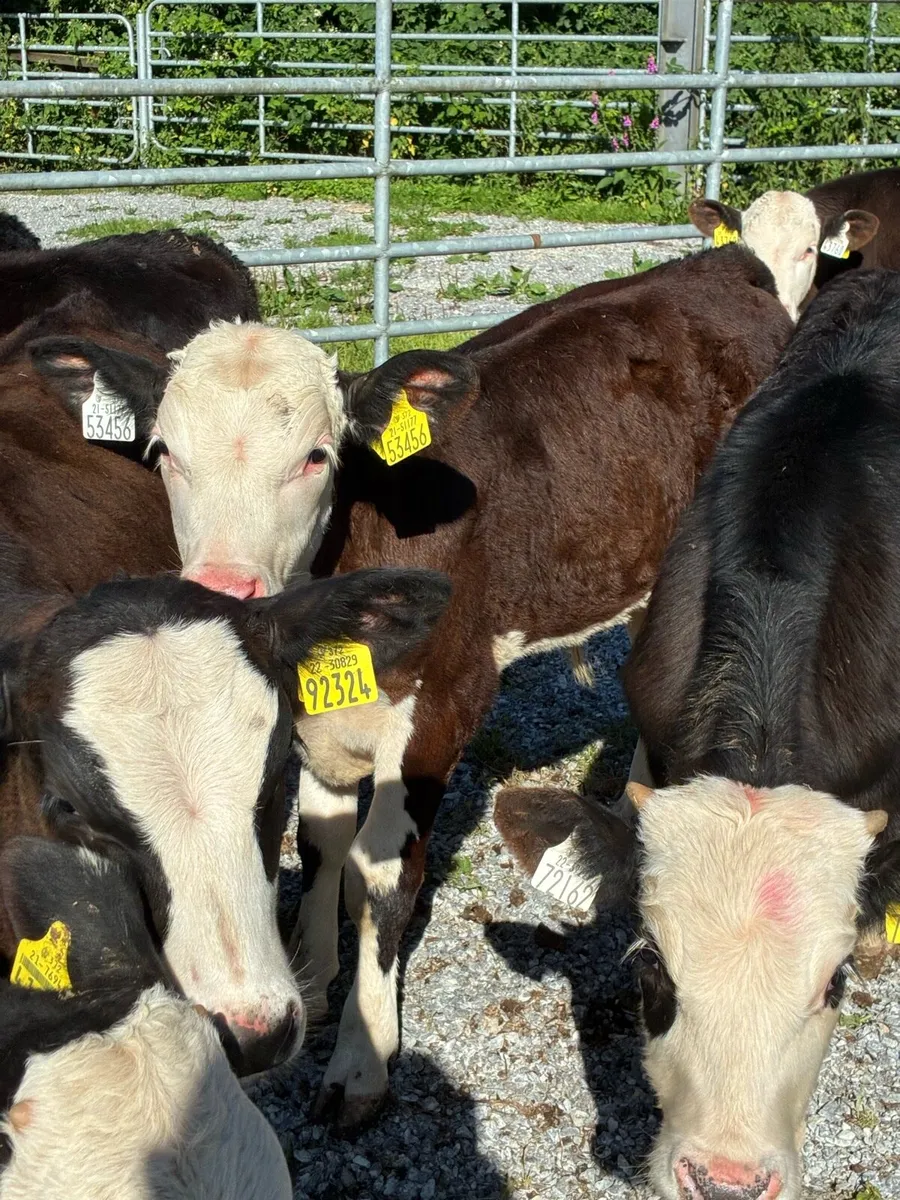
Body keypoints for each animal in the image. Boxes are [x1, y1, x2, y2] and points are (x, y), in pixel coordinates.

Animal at [88, 245, 794, 1126]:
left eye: (317, 456)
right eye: (164, 454)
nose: (225, 588)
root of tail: (723, 261)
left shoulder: (444, 702)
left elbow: (385, 874)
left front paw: (361, 1060)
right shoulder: (315, 717)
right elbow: (319, 846)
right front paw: (313, 979)